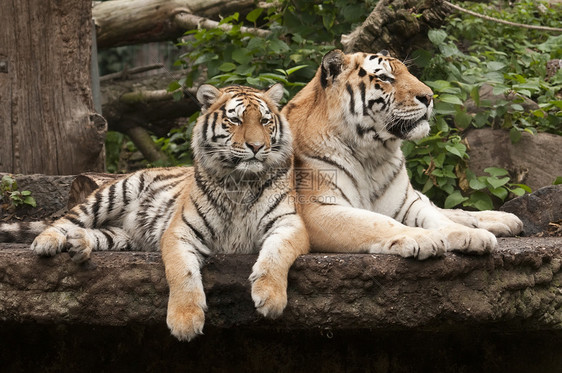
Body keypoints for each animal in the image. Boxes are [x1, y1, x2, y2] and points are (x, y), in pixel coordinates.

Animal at [0, 83, 306, 340]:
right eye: (236, 120)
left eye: (265, 121)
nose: (256, 146)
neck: (240, 182)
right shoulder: (180, 232)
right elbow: (183, 273)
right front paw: (185, 321)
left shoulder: (288, 224)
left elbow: (275, 256)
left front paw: (271, 298)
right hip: (114, 193)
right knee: (66, 219)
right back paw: (47, 242)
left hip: (124, 236)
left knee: (99, 233)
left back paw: (78, 243)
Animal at [282, 48, 524, 258]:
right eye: (385, 78)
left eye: (408, 72)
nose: (429, 96)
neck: (371, 154)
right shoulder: (317, 210)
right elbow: (379, 222)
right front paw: (425, 238)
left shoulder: (407, 202)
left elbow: (438, 218)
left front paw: (471, 235)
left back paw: (505, 219)